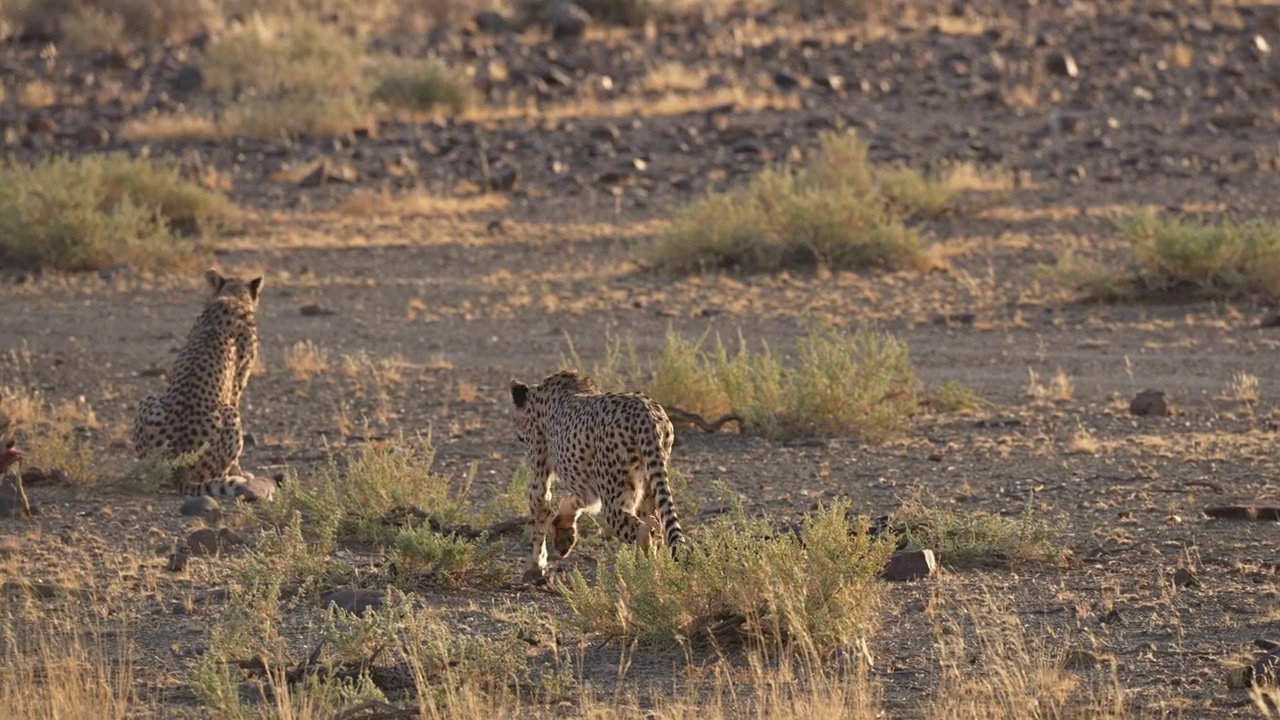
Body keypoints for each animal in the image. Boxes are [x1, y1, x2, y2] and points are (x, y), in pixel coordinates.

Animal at [131, 266, 263, 497]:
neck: (232, 296)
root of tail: (178, 470)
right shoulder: (237, 384)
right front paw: (241, 472)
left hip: (149, 399)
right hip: (230, 414)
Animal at [509, 368, 691, 576]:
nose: (518, 435)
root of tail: (645, 410)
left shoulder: (541, 474)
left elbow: (540, 511)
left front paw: (536, 564)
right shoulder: (586, 486)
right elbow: (574, 500)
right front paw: (563, 533)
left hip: (615, 499)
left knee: (644, 530)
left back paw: (644, 572)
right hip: (649, 486)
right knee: (655, 524)